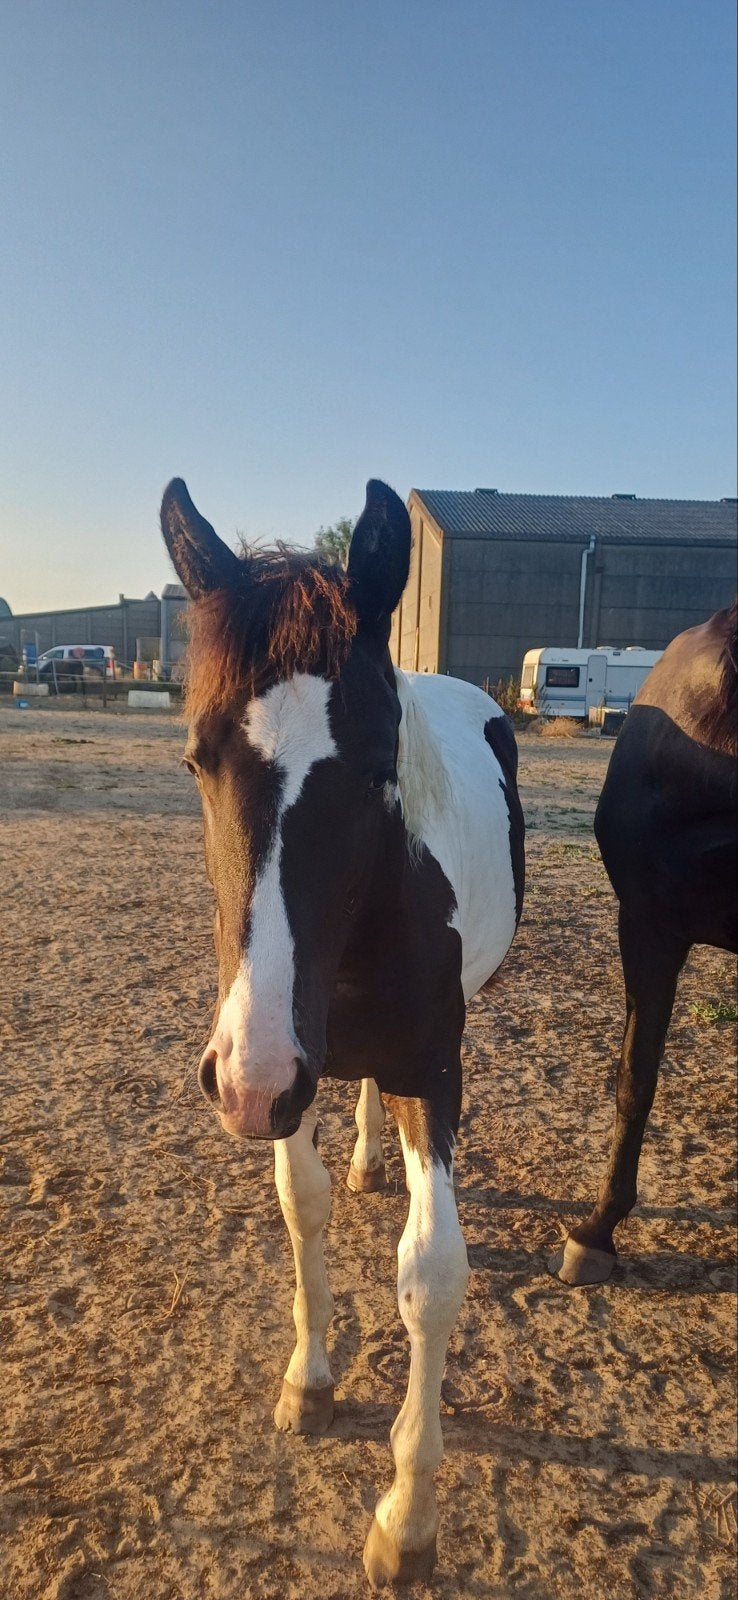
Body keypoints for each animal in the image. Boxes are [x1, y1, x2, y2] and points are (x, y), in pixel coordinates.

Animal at [160, 476, 525, 1585]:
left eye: (373, 767)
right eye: (197, 760)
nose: (247, 1082)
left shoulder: (432, 1070)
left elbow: (432, 1275)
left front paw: (407, 1520)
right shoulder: (289, 1060)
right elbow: (303, 1204)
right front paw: (310, 1380)